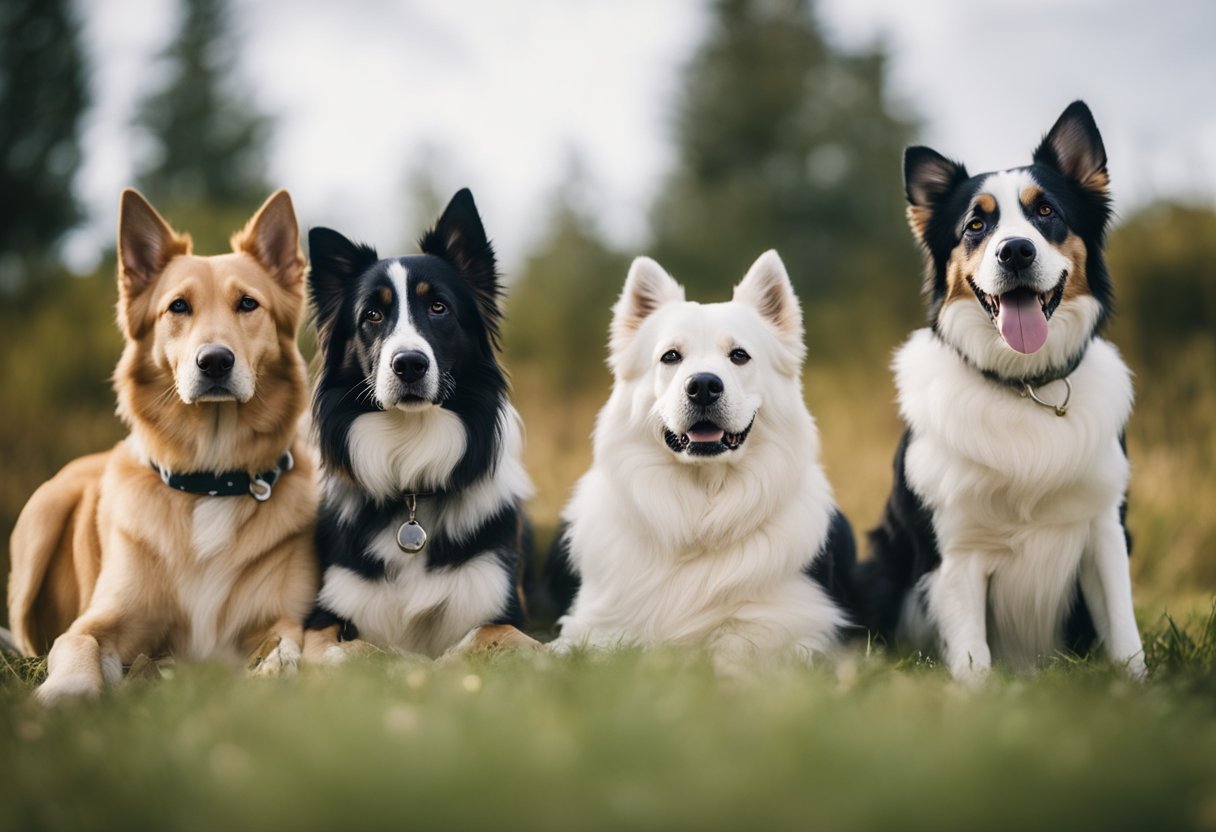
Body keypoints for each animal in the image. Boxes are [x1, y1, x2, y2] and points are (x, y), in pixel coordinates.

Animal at [8, 188, 318, 700]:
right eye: (178, 307)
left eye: (248, 304)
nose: (214, 361)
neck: (211, 478)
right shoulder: (99, 621)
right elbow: (76, 645)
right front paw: (65, 693)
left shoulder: (282, 618)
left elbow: (287, 646)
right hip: (41, 515)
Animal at [300, 189, 537, 661]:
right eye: (372, 315)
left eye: (438, 307)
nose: (409, 364)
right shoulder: (324, 617)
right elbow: (348, 650)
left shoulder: (501, 606)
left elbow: (487, 634)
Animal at [547, 248, 860, 661]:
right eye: (670, 356)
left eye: (739, 355)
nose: (704, 386)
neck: (701, 506)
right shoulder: (597, 623)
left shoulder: (790, 624)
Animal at [851, 100, 1143, 681]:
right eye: (975, 225)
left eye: (1047, 211)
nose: (1015, 251)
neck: (1025, 384)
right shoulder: (956, 551)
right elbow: (972, 658)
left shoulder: (1105, 530)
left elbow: (1126, 636)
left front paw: (1139, 690)